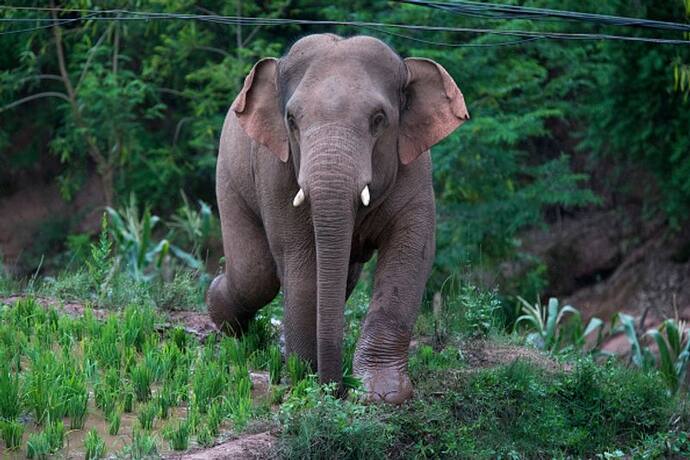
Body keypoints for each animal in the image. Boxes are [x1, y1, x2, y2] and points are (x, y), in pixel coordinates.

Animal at [207, 33, 468, 402]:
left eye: (378, 119)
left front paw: (382, 394)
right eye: (291, 119)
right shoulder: (276, 173)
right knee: (255, 274)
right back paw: (222, 314)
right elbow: (301, 259)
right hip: (228, 178)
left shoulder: (416, 170)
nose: (337, 389)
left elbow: (411, 250)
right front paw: (305, 379)